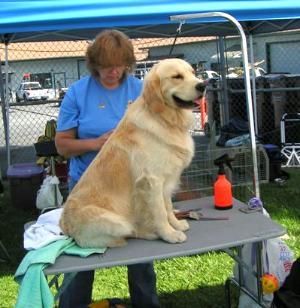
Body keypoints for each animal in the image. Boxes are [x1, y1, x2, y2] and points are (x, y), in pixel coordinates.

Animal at [59, 59, 205, 248]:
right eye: (177, 76)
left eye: (193, 72)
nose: (203, 85)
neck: (164, 119)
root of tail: (65, 227)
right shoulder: (152, 181)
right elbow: (160, 212)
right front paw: (169, 234)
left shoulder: (165, 181)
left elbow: (168, 207)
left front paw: (176, 224)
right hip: (117, 222)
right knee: (130, 232)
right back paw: (151, 233)